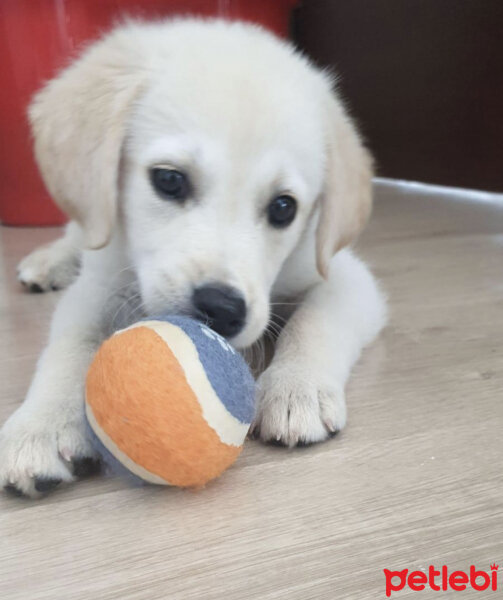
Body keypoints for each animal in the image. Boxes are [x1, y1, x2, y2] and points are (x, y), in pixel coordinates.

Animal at [0, 18, 388, 496]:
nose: (221, 309)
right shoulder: (98, 284)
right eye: (168, 180)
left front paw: (298, 387)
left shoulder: (345, 275)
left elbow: (314, 322)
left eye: (284, 208)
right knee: (78, 232)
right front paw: (40, 424)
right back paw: (48, 261)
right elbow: (70, 345)